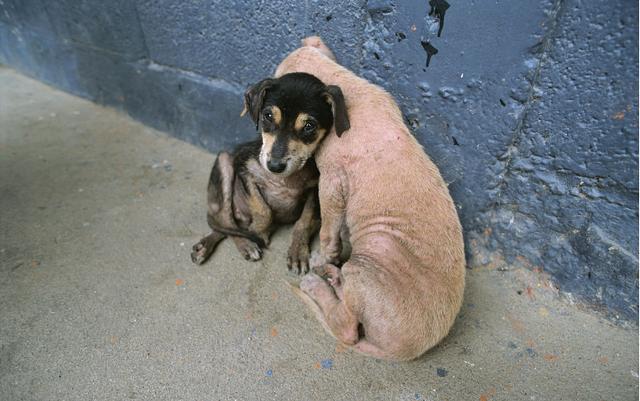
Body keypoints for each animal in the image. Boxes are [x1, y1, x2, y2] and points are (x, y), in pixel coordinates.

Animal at [191, 72, 350, 272]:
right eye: (267, 116)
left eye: (309, 126)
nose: (274, 166)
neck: (284, 179)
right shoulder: (244, 170)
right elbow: (263, 210)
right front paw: (258, 233)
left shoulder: (315, 190)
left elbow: (304, 222)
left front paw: (297, 252)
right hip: (225, 161)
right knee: (225, 221)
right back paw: (236, 244)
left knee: (227, 226)